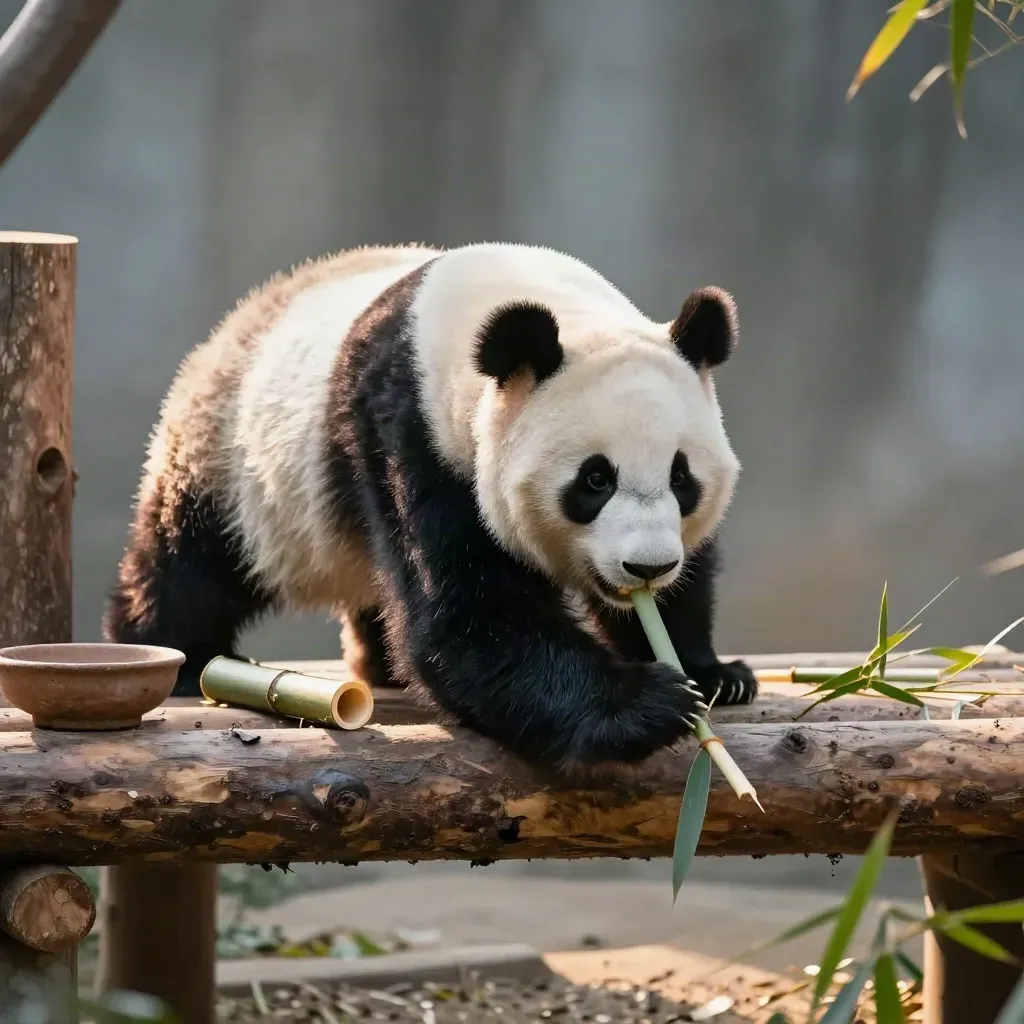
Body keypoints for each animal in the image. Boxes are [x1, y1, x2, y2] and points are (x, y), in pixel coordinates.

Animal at [104, 241, 757, 770]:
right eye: (595, 479)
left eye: (681, 477)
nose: (647, 568)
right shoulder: (408, 431)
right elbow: (467, 618)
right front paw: (651, 702)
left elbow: (684, 589)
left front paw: (714, 675)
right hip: (232, 459)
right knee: (191, 560)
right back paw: (175, 652)